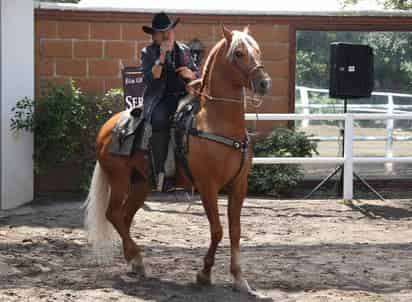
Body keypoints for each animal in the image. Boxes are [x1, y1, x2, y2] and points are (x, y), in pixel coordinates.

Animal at [84, 26, 272, 294]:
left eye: (257, 51)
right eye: (238, 53)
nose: (264, 83)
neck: (217, 123)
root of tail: (108, 126)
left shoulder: (239, 186)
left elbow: (235, 231)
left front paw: (238, 278)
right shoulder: (207, 186)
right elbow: (217, 230)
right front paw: (204, 274)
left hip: (141, 183)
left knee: (125, 217)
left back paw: (134, 261)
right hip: (119, 180)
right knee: (113, 214)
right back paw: (137, 259)